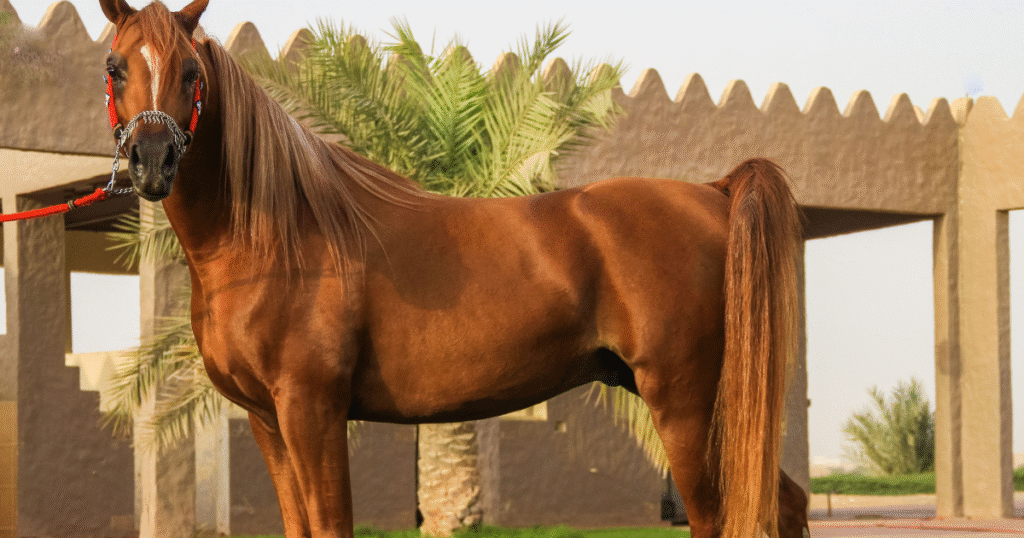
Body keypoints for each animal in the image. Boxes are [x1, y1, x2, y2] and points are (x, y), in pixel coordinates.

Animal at [97, 1, 807, 536]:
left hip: (686, 402)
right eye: (114, 65)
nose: (153, 161)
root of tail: (714, 191)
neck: (280, 236)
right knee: (786, 503)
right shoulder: (266, 419)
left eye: (191, 71)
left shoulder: (312, 408)